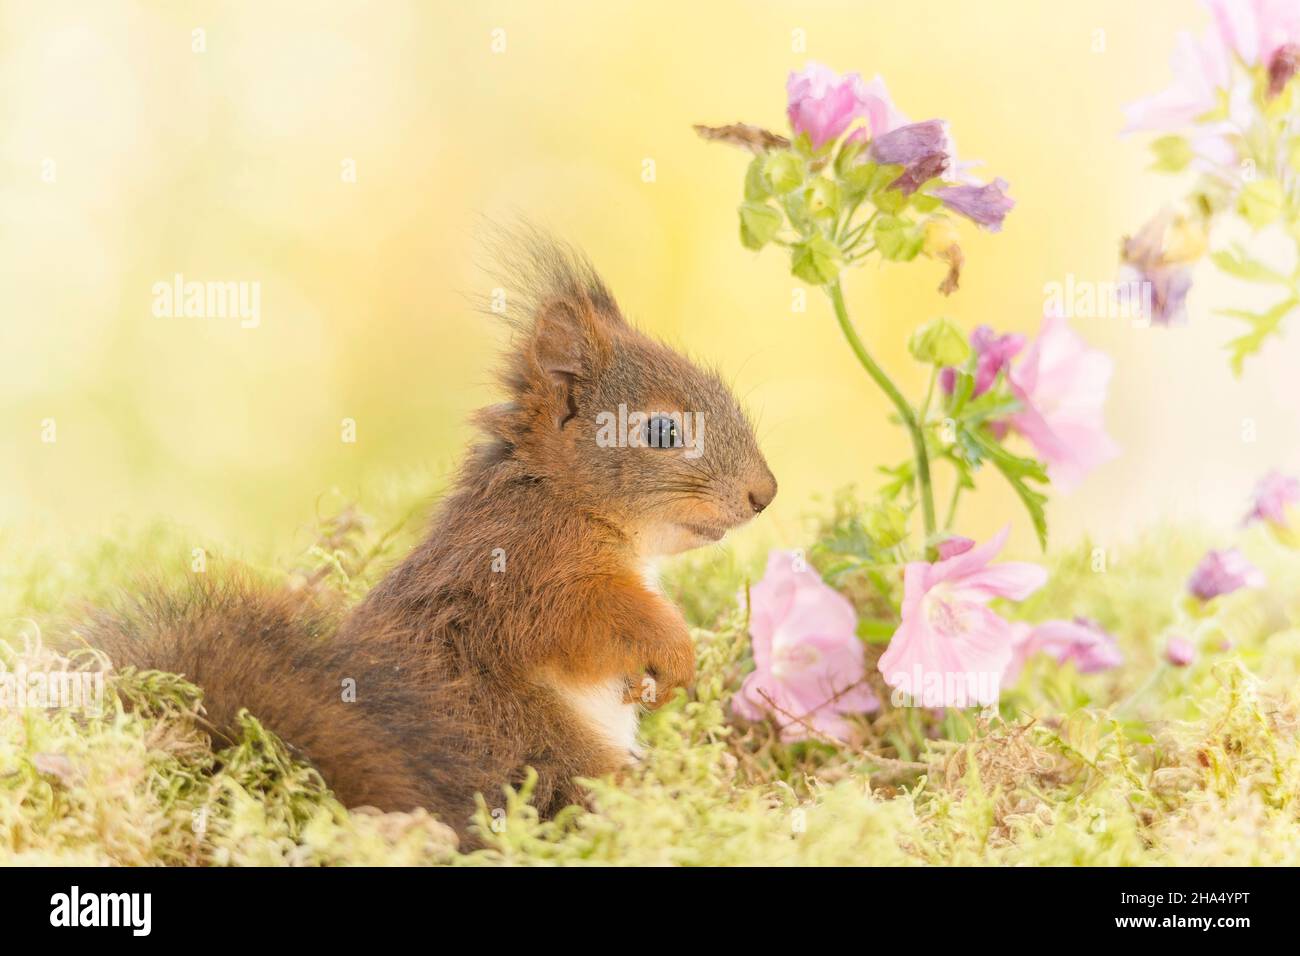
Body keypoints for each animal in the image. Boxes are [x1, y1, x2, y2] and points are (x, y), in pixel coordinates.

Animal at [82, 231, 777, 840]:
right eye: (662, 431)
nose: (764, 494)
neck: (565, 499)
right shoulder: (525, 571)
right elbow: (582, 618)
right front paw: (675, 652)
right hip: (536, 737)